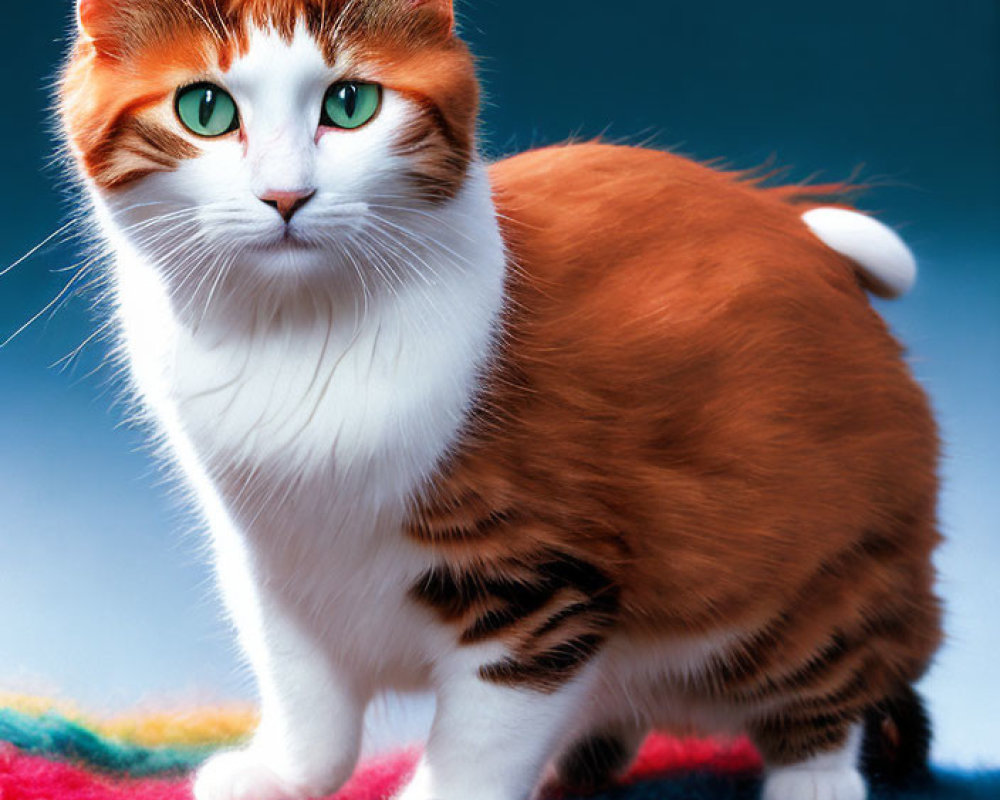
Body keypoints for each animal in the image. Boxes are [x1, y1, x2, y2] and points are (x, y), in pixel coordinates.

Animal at [58, 1, 940, 800]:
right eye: (206, 110)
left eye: (350, 104)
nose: (286, 196)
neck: (296, 336)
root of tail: (816, 247)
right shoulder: (270, 559)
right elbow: (307, 697)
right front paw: (287, 777)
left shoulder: (539, 586)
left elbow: (482, 741)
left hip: (812, 584)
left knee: (828, 700)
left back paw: (811, 778)